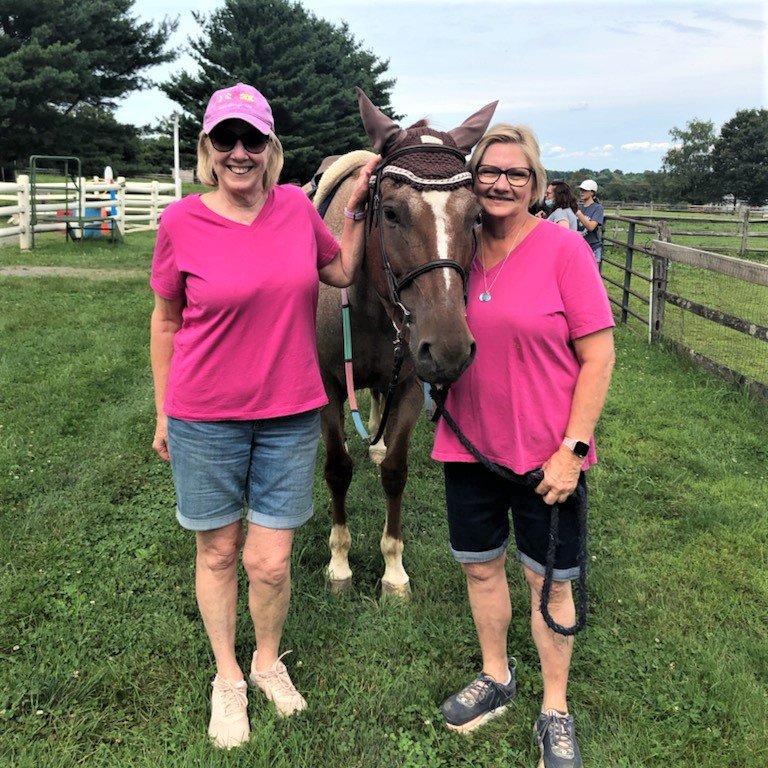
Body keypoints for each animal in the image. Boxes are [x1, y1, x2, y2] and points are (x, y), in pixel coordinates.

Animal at [314, 88, 498, 592]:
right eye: (391, 212)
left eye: (476, 216)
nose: (450, 348)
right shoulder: (329, 388)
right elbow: (337, 469)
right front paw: (339, 562)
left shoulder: (414, 384)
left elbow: (396, 472)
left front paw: (394, 570)